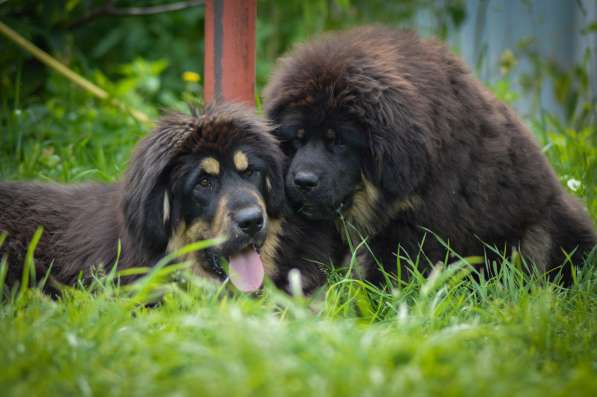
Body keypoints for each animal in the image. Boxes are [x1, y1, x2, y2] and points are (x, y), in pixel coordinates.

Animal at [266, 25, 596, 284]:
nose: (302, 181)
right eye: (295, 140)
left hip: (540, 229)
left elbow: (392, 275)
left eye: (339, 143)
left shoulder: (415, 225)